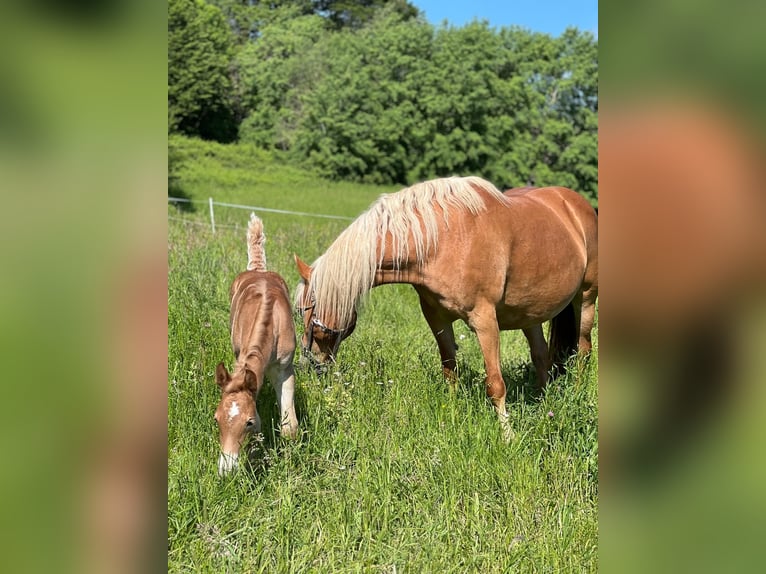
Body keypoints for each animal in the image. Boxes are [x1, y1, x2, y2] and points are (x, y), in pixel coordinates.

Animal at [216, 213, 304, 476]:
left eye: (249, 422)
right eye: (216, 419)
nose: (226, 470)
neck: (271, 324)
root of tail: (258, 269)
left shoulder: (285, 369)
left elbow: (290, 427)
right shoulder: (240, 357)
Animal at [294, 178, 600, 438]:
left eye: (303, 311)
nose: (312, 363)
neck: (445, 240)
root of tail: (576, 204)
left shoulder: (485, 320)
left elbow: (495, 384)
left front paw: (507, 435)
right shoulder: (437, 318)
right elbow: (450, 371)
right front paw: (451, 416)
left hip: (585, 299)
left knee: (583, 351)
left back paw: (575, 392)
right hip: (531, 314)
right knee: (541, 357)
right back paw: (543, 400)